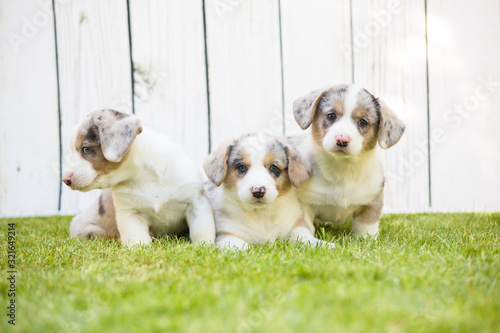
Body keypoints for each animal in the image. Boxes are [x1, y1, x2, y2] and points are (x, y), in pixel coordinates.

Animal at [62, 107, 215, 245]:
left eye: (86, 149)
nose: (65, 180)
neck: (144, 176)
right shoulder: (130, 214)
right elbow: (137, 240)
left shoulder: (197, 203)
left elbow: (201, 232)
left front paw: (205, 247)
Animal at [203, 132, 336, 249]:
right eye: (242, 167)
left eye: (273, 167)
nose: (258, 191)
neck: (261, 214)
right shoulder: (226, 235)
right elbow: (243, 247)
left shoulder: (296, 225)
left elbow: (305, 238)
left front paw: (326, 245)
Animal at [292, 84, 406, 237]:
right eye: (331, 115)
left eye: (363, 122)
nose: (342, 140)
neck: (343, 168)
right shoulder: (305, 204)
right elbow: (304, 226)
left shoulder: (372, 202)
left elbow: (366, 226)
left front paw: (366, 238)